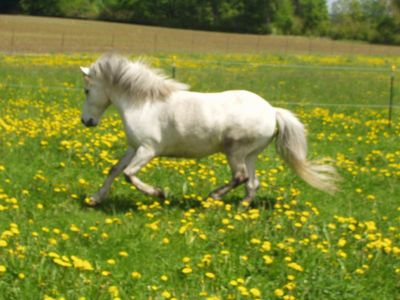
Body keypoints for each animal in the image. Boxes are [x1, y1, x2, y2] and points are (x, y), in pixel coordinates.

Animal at [79, 54, 340, 206]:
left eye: (86, 90)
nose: (86, 121)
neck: (144, 103)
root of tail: (272, 110)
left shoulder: (147, 149)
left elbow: (129, 174)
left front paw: (159, 193)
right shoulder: (134, 148)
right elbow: (114, 170)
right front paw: (95, 199)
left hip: (235, 151)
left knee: (240, 177)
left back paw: (213, 197)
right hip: (250, 155)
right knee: (252, 183)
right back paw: (243, 208)